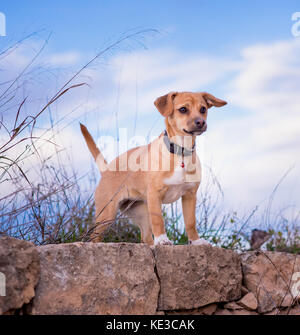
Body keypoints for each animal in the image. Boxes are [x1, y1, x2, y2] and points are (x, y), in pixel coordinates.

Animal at [81, 92, 226, 247]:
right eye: (183, 109)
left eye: (203, 109)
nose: (201, 122)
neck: (180, 151)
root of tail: (106, 168)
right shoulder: (155, 195)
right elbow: (158, 220)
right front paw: (162, 239)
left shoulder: (189, 195)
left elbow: (191, 222)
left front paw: (196, 241)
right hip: (106, 214)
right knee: (94, 236)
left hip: (141, 213)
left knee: (145, 238)